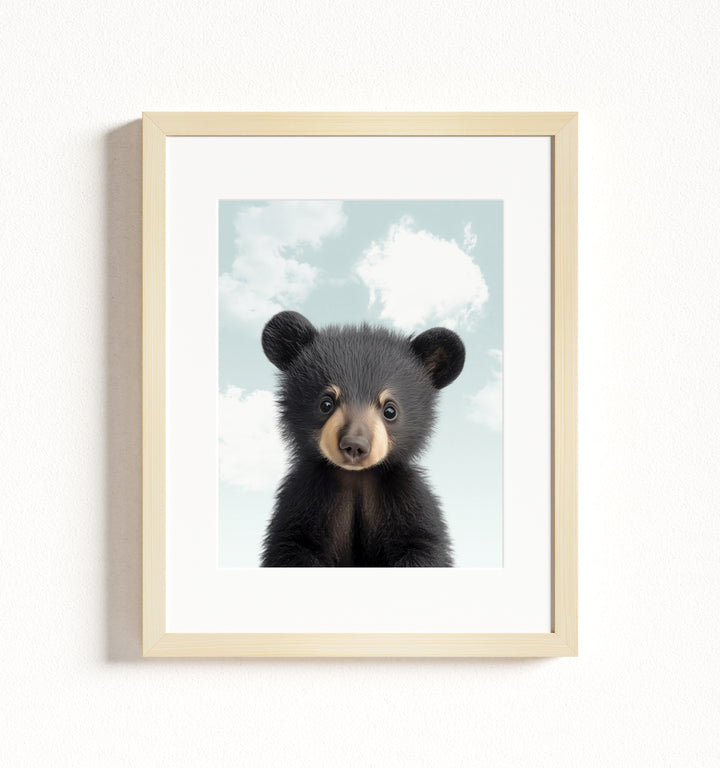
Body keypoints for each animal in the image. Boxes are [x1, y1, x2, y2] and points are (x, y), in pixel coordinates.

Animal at [260, 310, 465, 567]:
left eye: (390, 410)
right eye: (326, 403)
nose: (354, 446)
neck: (356, 478)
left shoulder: (404, 495)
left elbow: (423, 543)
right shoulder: (304, 496)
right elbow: (292, 543)